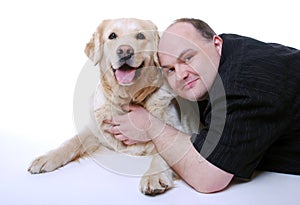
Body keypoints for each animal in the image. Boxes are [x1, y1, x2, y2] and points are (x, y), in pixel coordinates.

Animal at [27, 18, 193, 195]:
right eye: (112, 36)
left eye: (140, 36)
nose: (125, 51)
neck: (128, 99)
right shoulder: (95, 130)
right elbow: (72, 141)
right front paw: (47, 158)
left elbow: (164, 154)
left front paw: (154, 176)